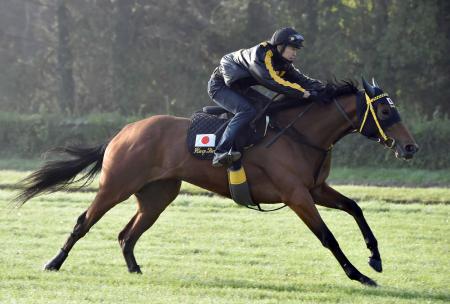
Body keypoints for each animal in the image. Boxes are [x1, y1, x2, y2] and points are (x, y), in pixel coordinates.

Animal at [16, 77, 418, 286]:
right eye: (386, 110)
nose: (410, 147)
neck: (300, 134)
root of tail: (122, 133)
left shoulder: (316, 189)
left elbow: (355, 207)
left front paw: (375, 258)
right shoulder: (296, 195)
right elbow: (328, 237)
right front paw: (358, 275)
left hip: (157, 196)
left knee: (127, 234)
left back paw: (134, 268)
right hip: (116, 186)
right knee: (83, 221)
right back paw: (53, 262)